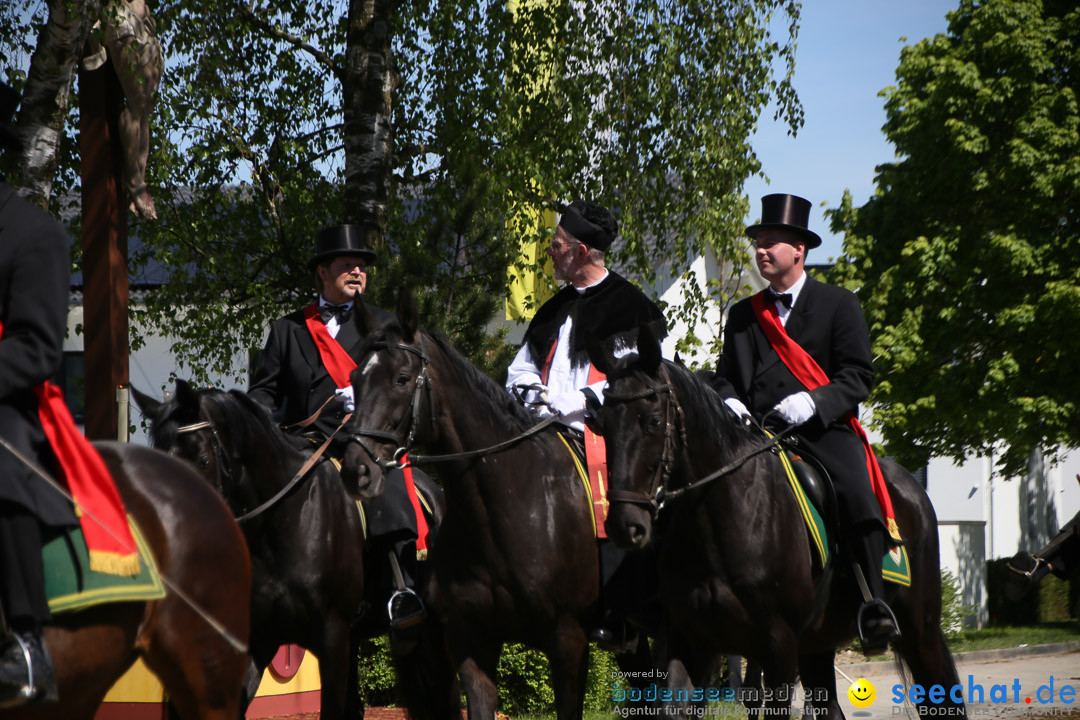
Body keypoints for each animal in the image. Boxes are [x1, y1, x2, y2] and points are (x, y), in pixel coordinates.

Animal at [587, 332, 967, 720]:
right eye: (601, 425)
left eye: (651, 421)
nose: (624, 525)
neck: (720, 520)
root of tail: (911, 485)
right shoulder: (689, 638)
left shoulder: (778, 648)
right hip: (818, 642)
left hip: (919, 631)